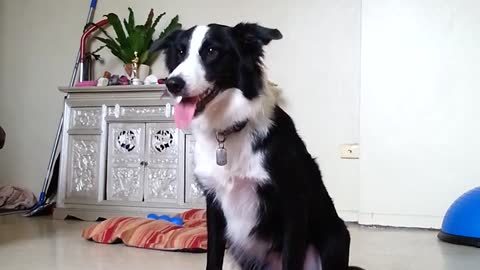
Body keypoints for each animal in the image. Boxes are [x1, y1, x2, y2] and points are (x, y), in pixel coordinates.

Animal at [152, 22, 362, 270]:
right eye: (180, 52)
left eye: (212, 51)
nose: (172, 84)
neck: (228, 131)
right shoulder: (213, 204)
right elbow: (213, 257)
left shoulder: (293, 203)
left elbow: (291, 258)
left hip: (336, 237)